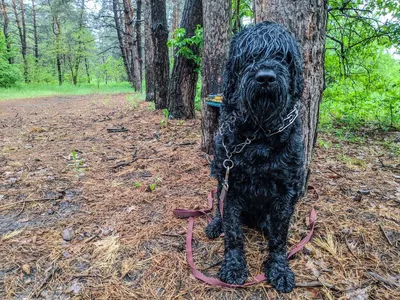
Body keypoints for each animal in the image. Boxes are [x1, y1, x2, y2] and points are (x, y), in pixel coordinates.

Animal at [205, 21, 304, 292]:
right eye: (249, 56)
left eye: (282, 56)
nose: (266, 77)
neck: (258, 135)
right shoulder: (232, 186)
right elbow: (233, 233)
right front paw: (234, 267)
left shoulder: (286, 191)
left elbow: (280, 237)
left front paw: (279, 269)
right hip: (221, 182)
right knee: (218, 210)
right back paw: (215, 224)